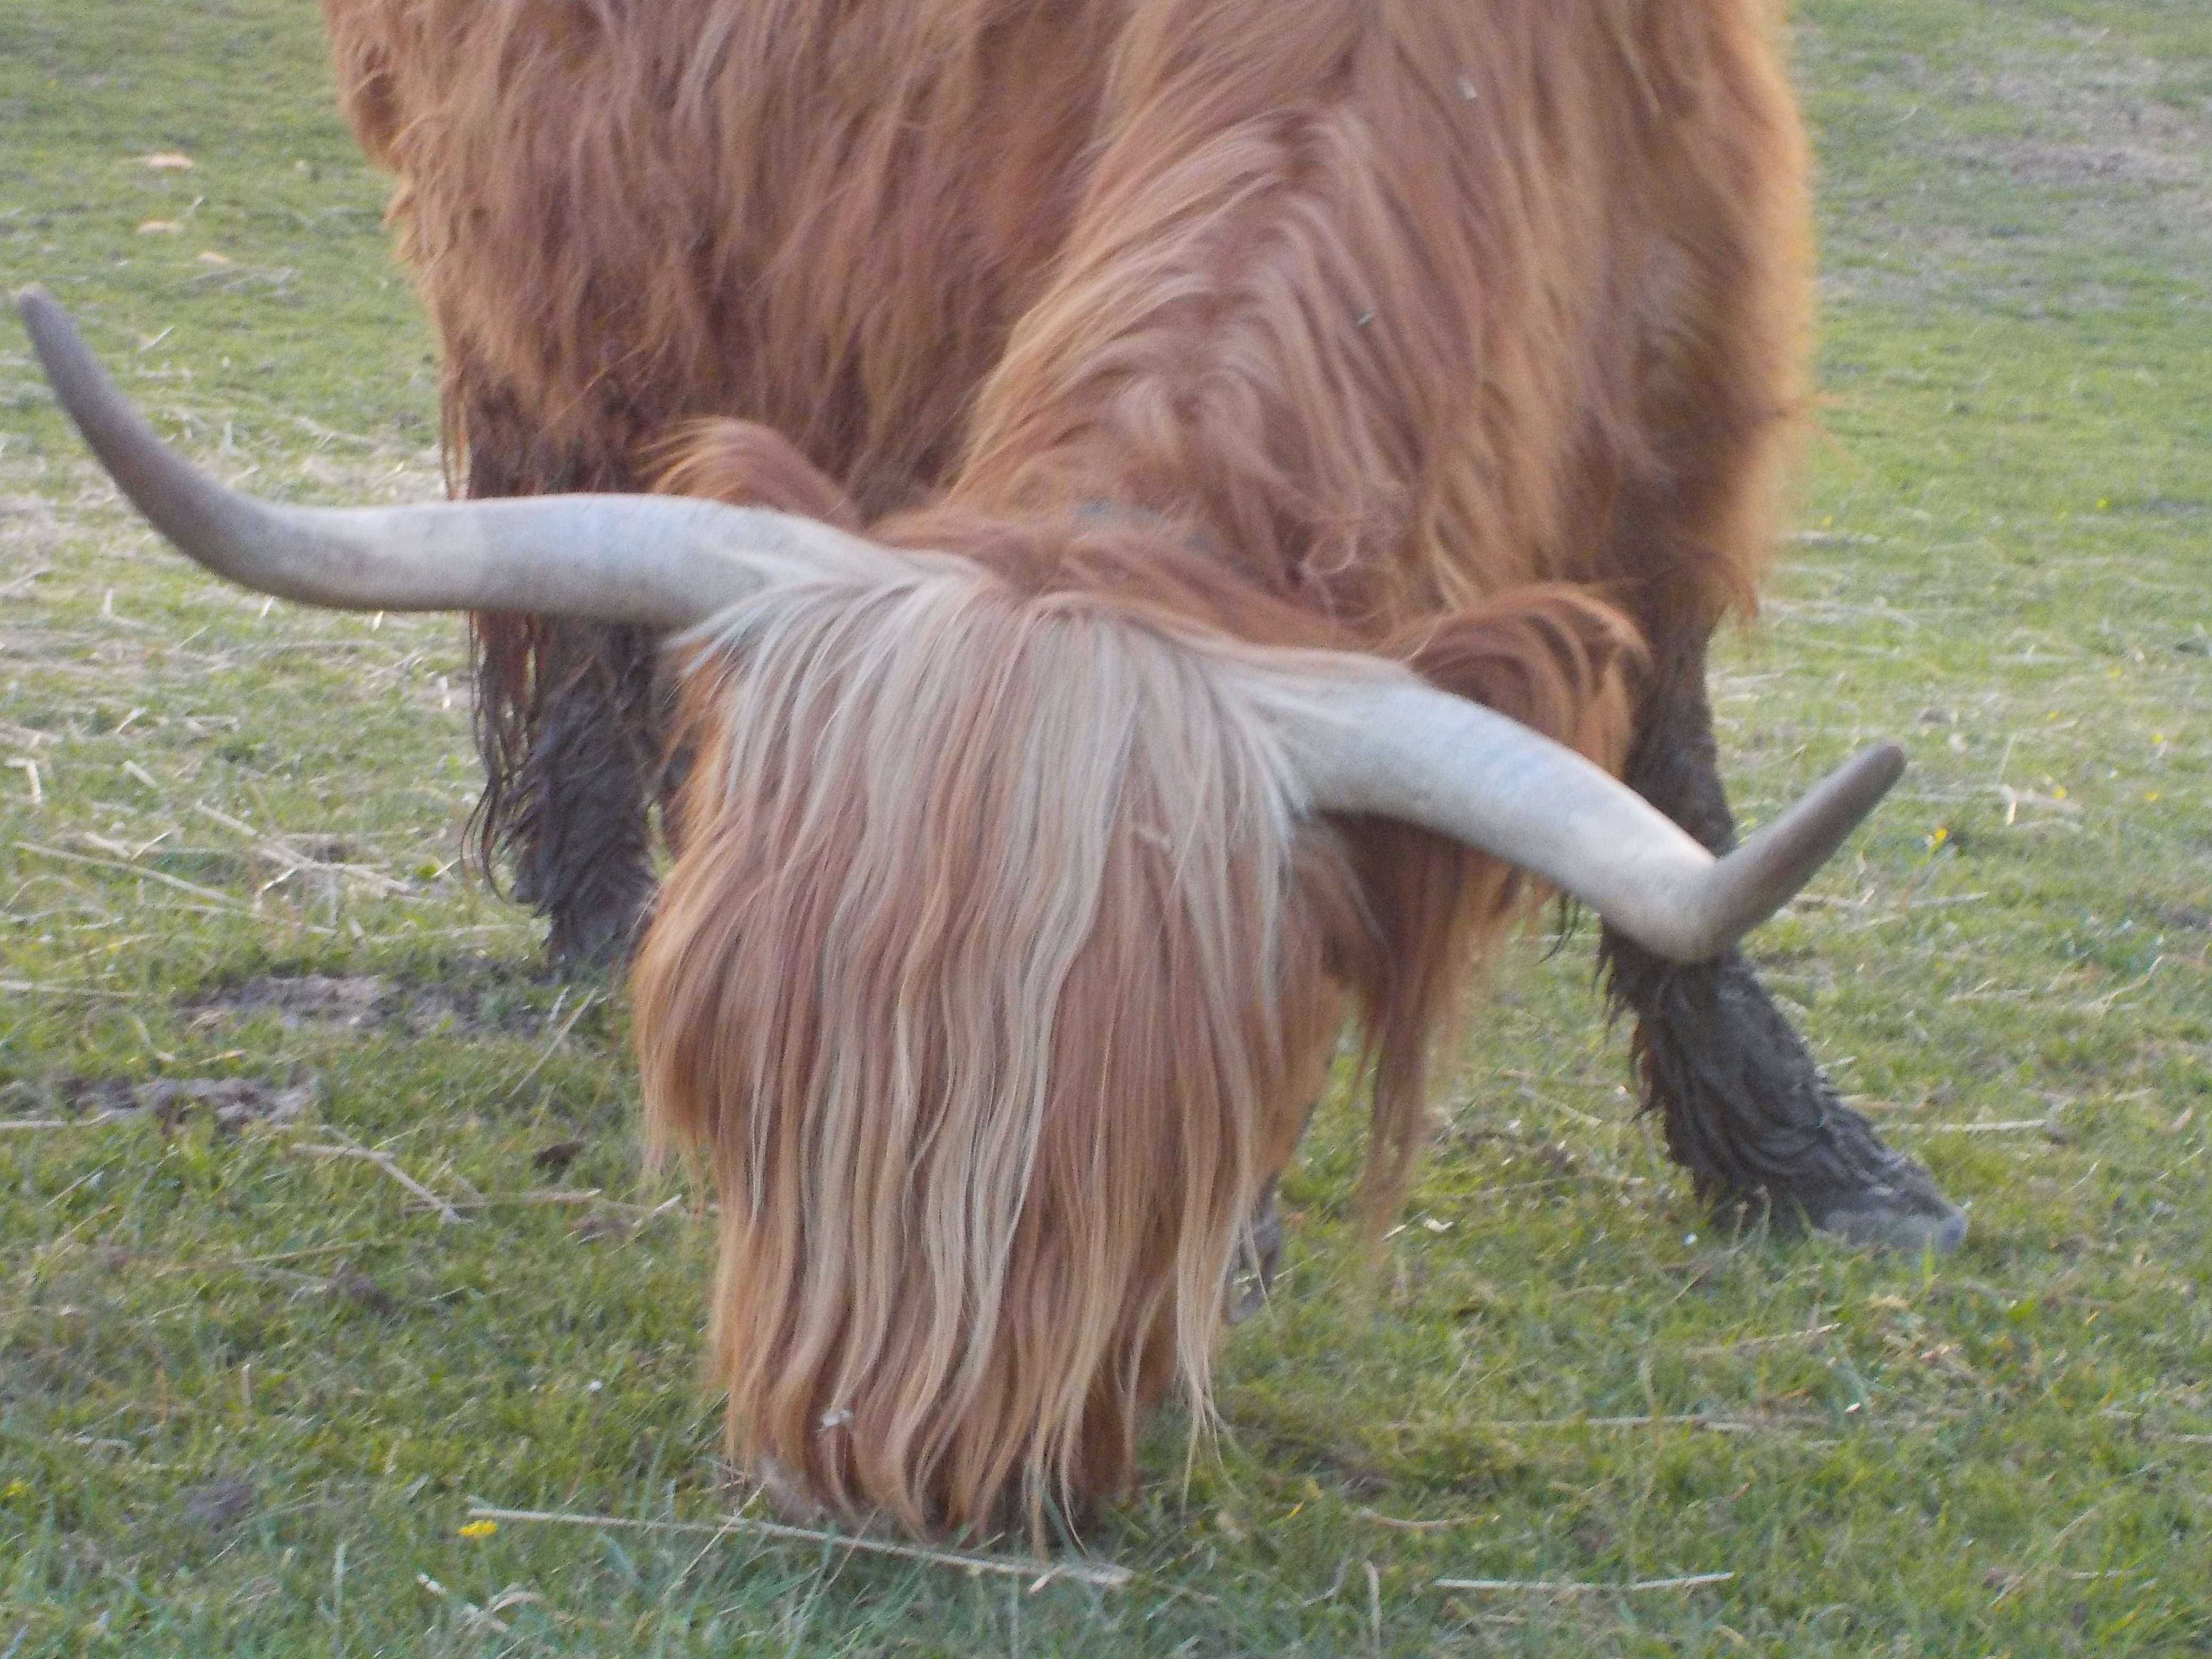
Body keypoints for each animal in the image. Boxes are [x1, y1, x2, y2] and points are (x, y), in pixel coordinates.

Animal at [13, 0, 1955, 1548]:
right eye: (718, 1093)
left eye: (1149, 1139)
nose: (879, 1468)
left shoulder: (1679, 444)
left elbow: (1681, 808)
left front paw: (1809, 1164)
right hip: (540, 284)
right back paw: (593, 899)